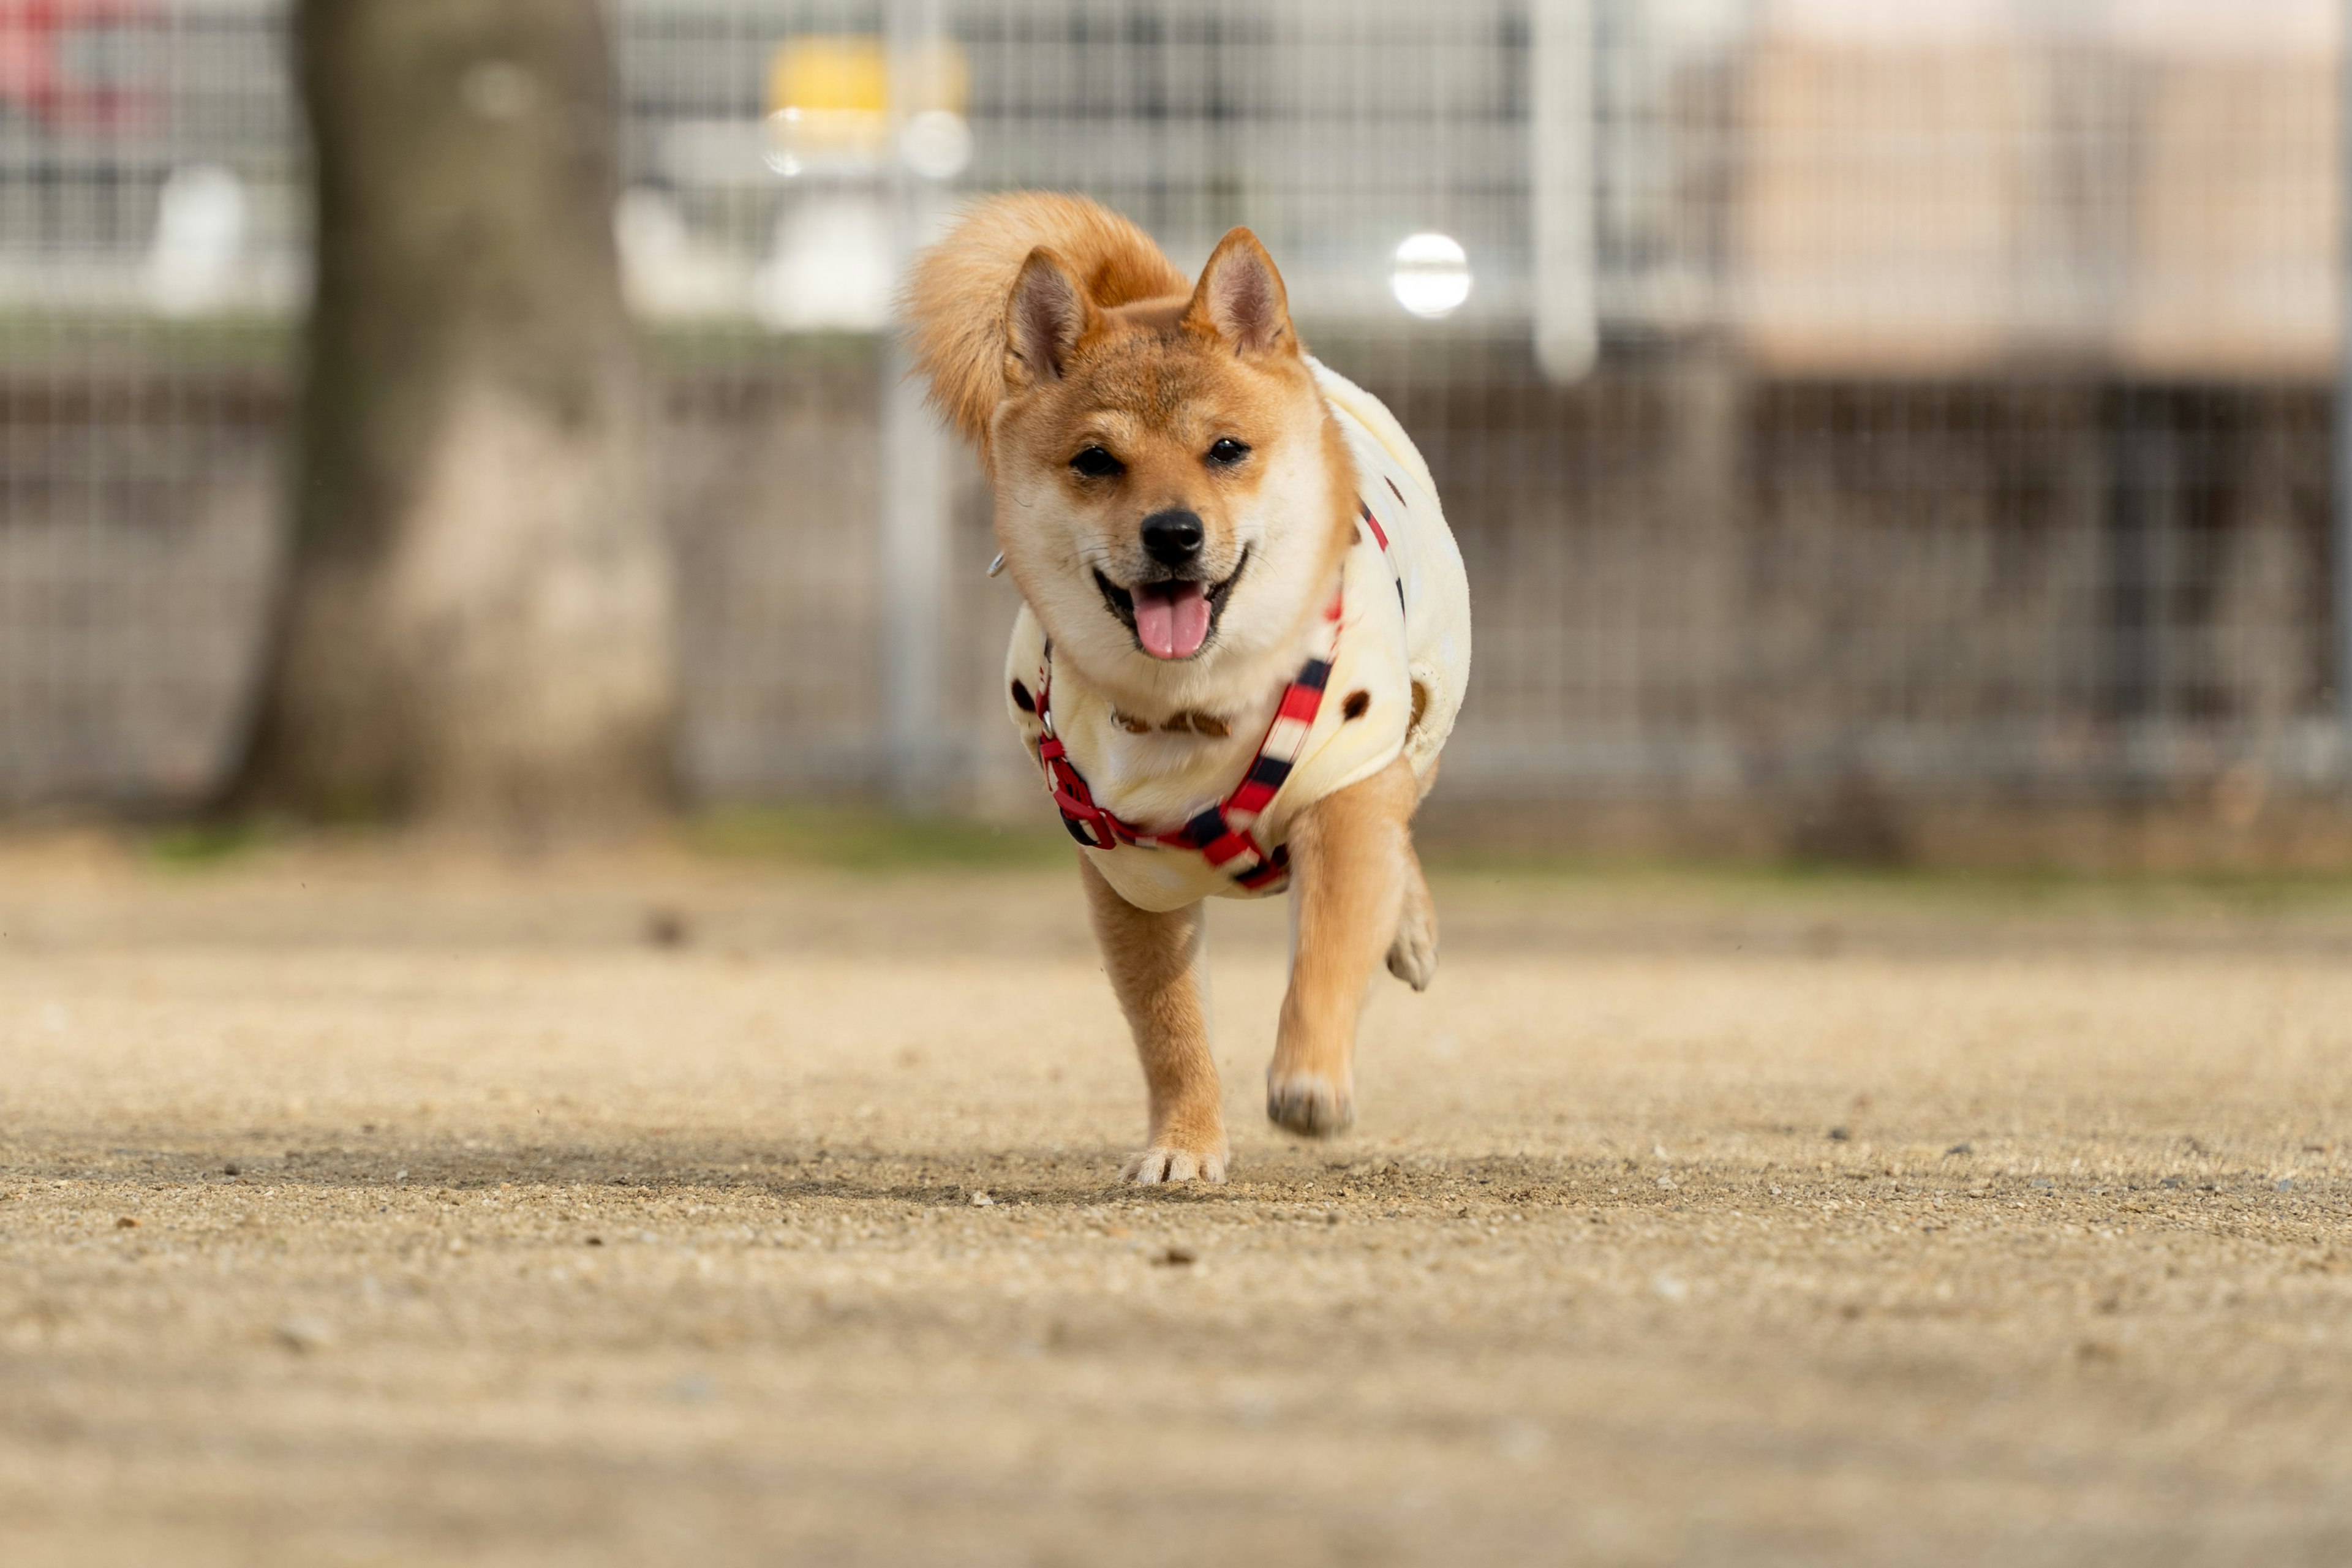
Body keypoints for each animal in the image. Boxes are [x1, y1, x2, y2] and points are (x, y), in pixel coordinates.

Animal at [903, 190, 1468, 1185]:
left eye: (1227, 449)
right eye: (1096, 461)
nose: (1173, 533)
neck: (1196, 708)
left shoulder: (1345, 792)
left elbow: (1331, 945)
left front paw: (1310, 1079)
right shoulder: (1127, 874)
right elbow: (1169, 1030)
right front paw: (1186, 1144)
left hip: (1417, 718)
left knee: (1401, 833)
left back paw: (1407, 929)